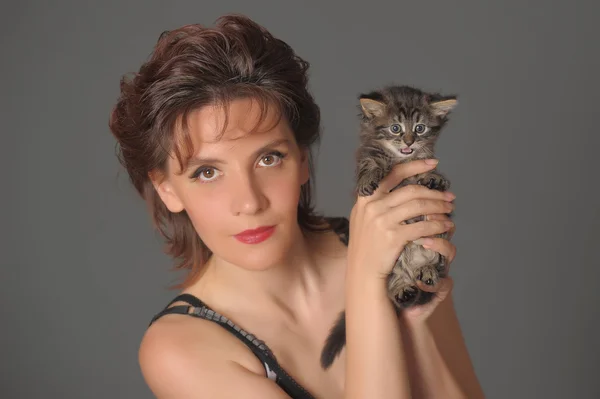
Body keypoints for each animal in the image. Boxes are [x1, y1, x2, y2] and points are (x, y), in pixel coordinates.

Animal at [322, 86, 458, 370]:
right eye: (395, 128)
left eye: (419, 128)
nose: (408, 142)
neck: (400, 161)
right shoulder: (367, 155)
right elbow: (370, 166)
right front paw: (368, 181)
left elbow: (427, 174)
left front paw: (434, 178)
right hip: (392, 268)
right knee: (395, 284)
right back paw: (403, 290)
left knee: (433, 266)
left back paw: (426, 272)